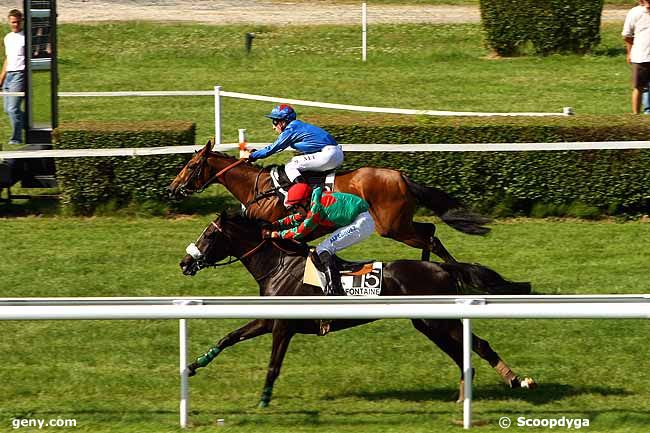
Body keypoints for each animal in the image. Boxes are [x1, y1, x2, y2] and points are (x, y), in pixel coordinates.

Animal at [166, 140, 486, 262]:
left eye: (191, 166)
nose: (172, 188)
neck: (260, 188)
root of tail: (402, 176)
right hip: (401, 223)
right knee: (430, 232)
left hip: (393, 227)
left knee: (430, 237)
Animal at [178, 213, 536, 408]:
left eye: (208, 234)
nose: (184, 262)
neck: (278, 265)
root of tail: (444, 268)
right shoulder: (269, 318)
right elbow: (228, 337)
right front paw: (193, 366)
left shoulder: (283, 325)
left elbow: (273, 366)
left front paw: (264, 400)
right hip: (428, 323)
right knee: (467, 352)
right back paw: (476, 391)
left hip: (438, 322)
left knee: (477, 347)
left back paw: (511, 381)